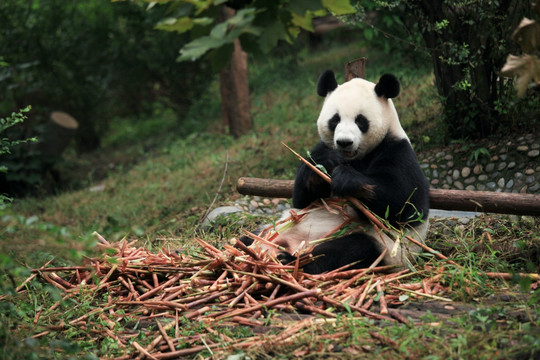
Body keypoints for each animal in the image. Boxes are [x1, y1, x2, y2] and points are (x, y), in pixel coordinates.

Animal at [243, 69, 428, 272]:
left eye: (360, 121)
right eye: (335, 120)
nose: (344, 142)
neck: (353, 158)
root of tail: (292, 244)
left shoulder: (398, 151)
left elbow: (404, 204)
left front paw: (347, 179)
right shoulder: (322, 147)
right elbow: (302, 198)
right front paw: (326, 164)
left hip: (383, 248)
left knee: (345, 251)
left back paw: (290, 261)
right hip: (274, 229)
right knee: (247, 237)